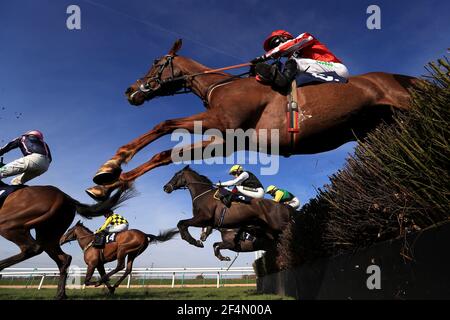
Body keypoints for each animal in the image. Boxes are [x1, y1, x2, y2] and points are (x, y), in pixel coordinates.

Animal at [0, 184, 130, 298]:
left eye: (68, 231)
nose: (62, 239)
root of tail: (65, 197)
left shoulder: (94, 263)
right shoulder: (98, 263)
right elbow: (103, 276)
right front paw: (109, 288)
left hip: (9, 224)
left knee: (32, 248)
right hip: (46, 236)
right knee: (63, 258)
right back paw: (60, 294)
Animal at [85, 38, 418, 200]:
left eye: (156, 62)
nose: (130, 90)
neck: (221, 85)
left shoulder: (223, 121)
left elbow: (163, 125)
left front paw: (112, 167)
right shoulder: (226, 141)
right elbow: (165, 152)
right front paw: (108, 180)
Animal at [162, 166, 292, 249]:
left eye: (176, 175)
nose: (165, 187)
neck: (203, 194)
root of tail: (283, 206)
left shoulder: (203, 218)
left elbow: (181, 223)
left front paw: (193, 241)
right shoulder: (208, 222)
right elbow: (183, 224)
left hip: (280, 227)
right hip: (269, 231)